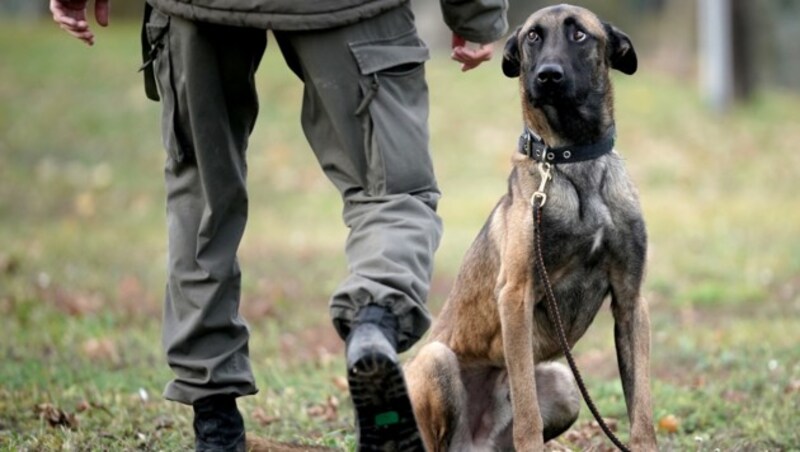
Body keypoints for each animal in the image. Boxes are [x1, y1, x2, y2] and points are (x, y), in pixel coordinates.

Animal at [404, 4, 660, 452]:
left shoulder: (631, 300)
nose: (548, 75)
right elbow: (527, 412)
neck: (574, 159)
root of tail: (472, 444)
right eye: (532, 37)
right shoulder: (516, 295)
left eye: (579, 35)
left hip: (563, 382)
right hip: (437, 360)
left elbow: (640, 405)